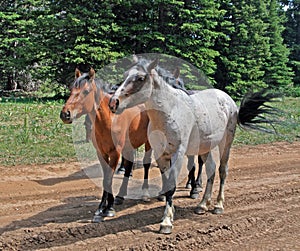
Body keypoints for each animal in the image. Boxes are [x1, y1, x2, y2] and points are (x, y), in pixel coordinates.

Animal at [60, 67, 152, 221]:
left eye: (86, 91)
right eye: (71, 89)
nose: (65, 114)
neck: (109, 119)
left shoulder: (115, 153)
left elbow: (109, 178)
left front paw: (108, 209)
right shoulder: (102, 153)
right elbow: (105, 179)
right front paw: (101, 207)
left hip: (149, 142)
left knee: (147, 164)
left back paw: (146, 193)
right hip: (128, 147)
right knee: (128, 166)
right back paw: (120, 196)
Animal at [109, 57, 278, 234]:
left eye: (140, 78)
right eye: (125, 75)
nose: (113, 103)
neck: (169, 112)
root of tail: (228, 100)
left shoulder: (178, 153)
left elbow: (172, 186)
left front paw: (166, 223)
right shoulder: (160, 154)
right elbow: (167, 184)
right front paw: (169, 212)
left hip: (226, 143)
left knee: (222, 170)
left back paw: (218, 205)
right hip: (205, 147)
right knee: (211, 169)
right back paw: (202, 205)